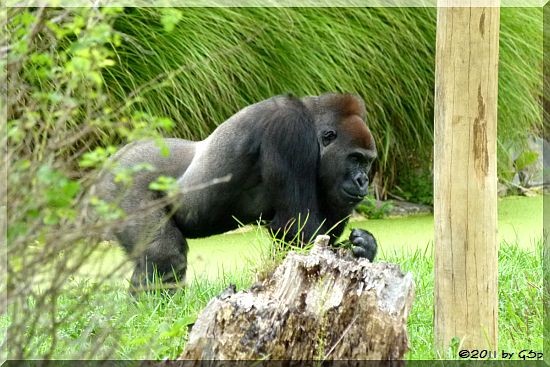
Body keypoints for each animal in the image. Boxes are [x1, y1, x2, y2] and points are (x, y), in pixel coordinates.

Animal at [95, 92, 380, 290]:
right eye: (355, 158)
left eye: (367, 161)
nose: (363, 180)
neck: (310, 118)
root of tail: (113, 159)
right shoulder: (289, 130)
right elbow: (297, 229)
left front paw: (365, 247)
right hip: (123, 183)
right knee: (164, 254)